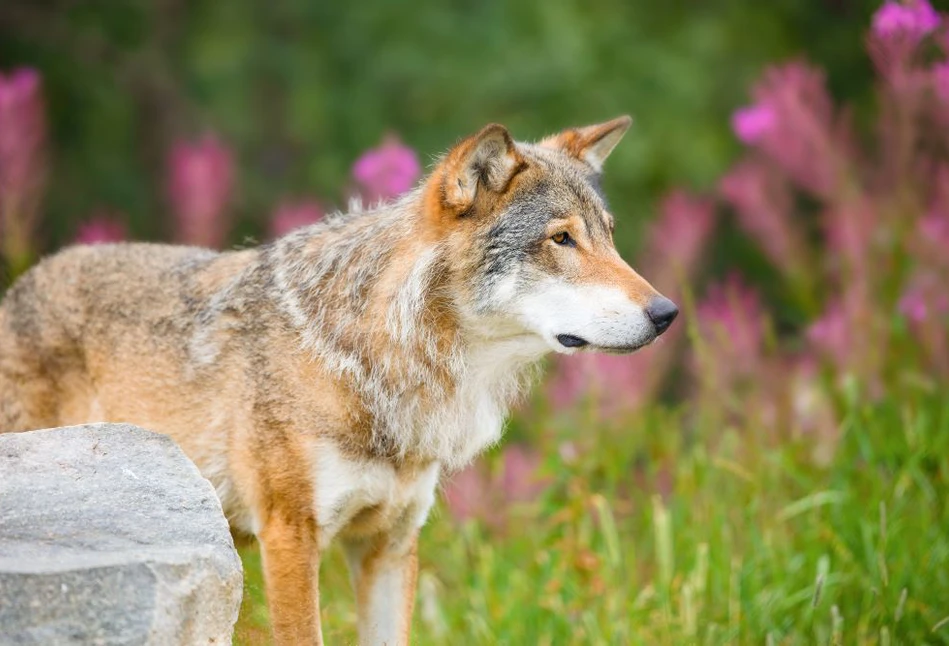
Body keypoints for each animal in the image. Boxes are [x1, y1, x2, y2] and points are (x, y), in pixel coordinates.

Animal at [1, 117, 680, 646]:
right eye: (561, 239)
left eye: (609, 237)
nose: (667, 313)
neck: (384, 361)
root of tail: (22, 282)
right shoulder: (290, 537)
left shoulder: (391, 543)